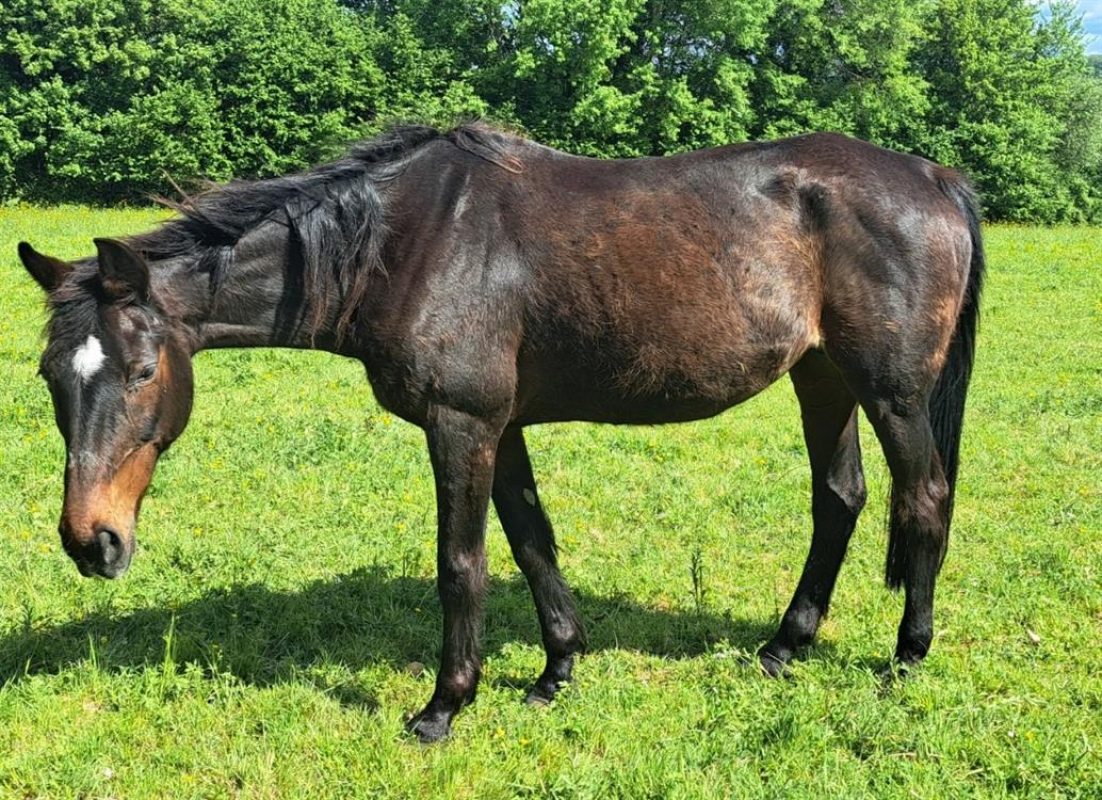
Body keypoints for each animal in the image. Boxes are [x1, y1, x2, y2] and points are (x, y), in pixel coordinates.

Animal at [18, 122, 983, 742]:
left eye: (142, 372)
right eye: (52, 377)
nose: (91, 541)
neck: (408, 242)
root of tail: (933, 177)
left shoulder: (462, 425)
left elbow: (463, 563)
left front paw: (445, 705)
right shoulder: (503, 426)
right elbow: (532, 540)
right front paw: (556, 672)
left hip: (893, 394)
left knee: (925, 500)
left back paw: (906, 656)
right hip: (822, 377)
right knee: (840, 499)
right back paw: (785, 646)